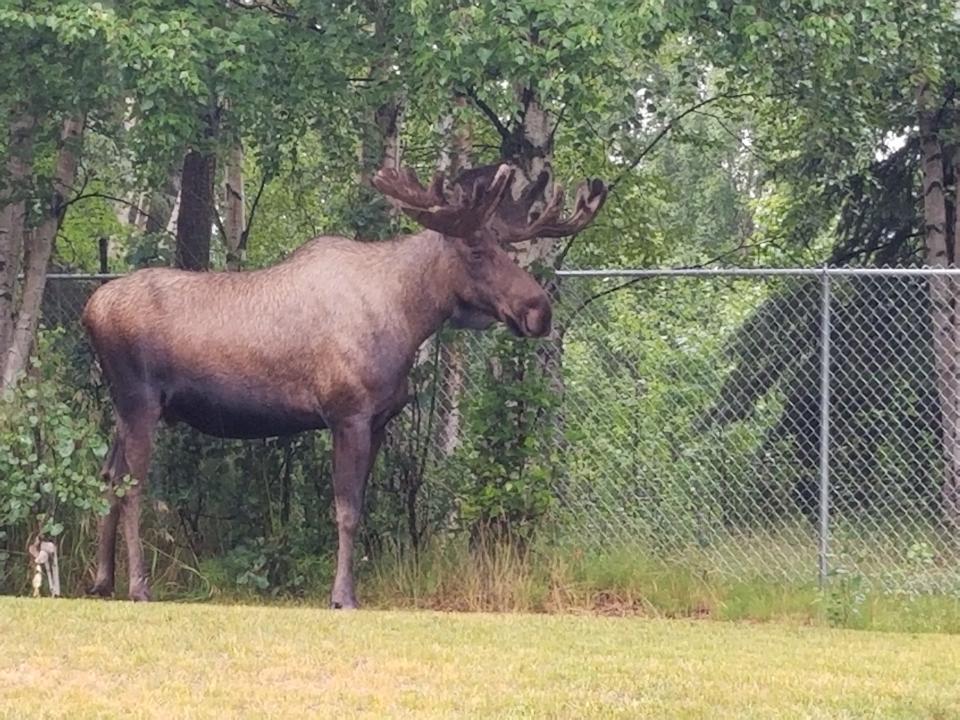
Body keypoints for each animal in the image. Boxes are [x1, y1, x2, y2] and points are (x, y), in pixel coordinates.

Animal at [84, 163, 608, 608]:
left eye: (507, 246)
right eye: (477, 250)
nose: (539, 310)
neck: (408, 317)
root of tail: (89, 311)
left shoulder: (379, 421)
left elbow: (360, 508)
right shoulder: (347, 413)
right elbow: (347, 510)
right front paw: (343, 596)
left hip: (122, 408)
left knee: (108, 476)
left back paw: (102, 580)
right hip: (140, 401)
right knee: (131, 485)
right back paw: (138, 586)